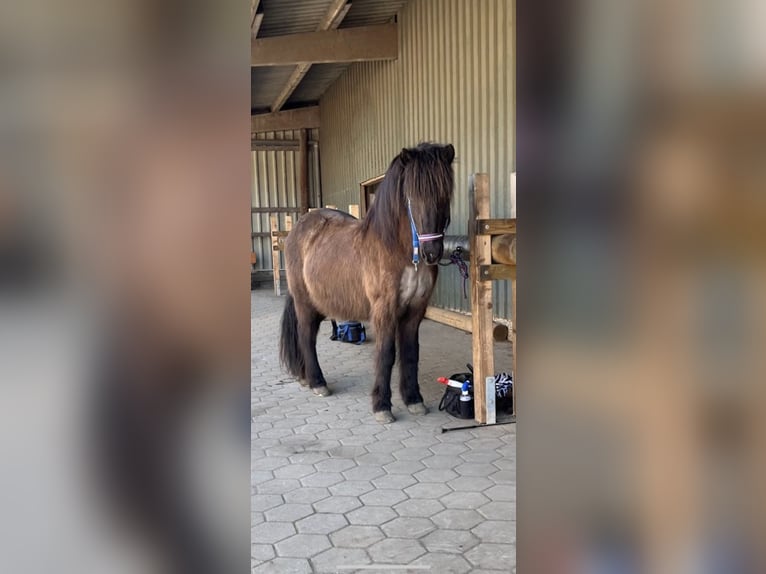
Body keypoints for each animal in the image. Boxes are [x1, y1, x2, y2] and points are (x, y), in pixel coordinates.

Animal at [279, 142, 455, 423]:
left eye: (444, 194)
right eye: (412, 197)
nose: (431, 253)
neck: (397, 249)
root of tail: (299, 227)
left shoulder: (415, 311)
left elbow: (411, 353)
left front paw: (414, 400)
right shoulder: (385, 309)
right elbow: (386, 354)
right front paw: (382, 406)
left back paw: (306, 378)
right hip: (305, 302)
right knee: (306, 336)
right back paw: (318, 382)